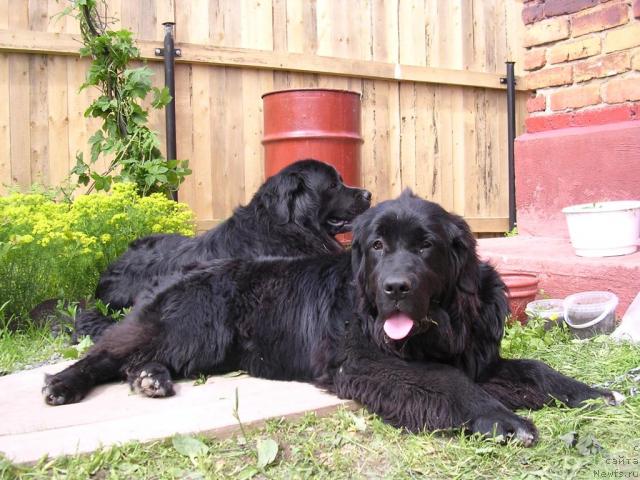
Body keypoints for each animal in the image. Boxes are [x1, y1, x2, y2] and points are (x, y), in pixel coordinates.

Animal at [45, 190, 616, 442]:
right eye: (378, 246)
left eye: (425, 246)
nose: (394, 288)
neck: (443, 323)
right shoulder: (367, 362)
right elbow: (448, 382)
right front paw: (501, 420)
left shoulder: (480, 355)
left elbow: (535, 370)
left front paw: (590, 392)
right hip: (193, 323)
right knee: (109, 352)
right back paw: (65, 385)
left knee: (138, 357)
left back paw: (150, 379)